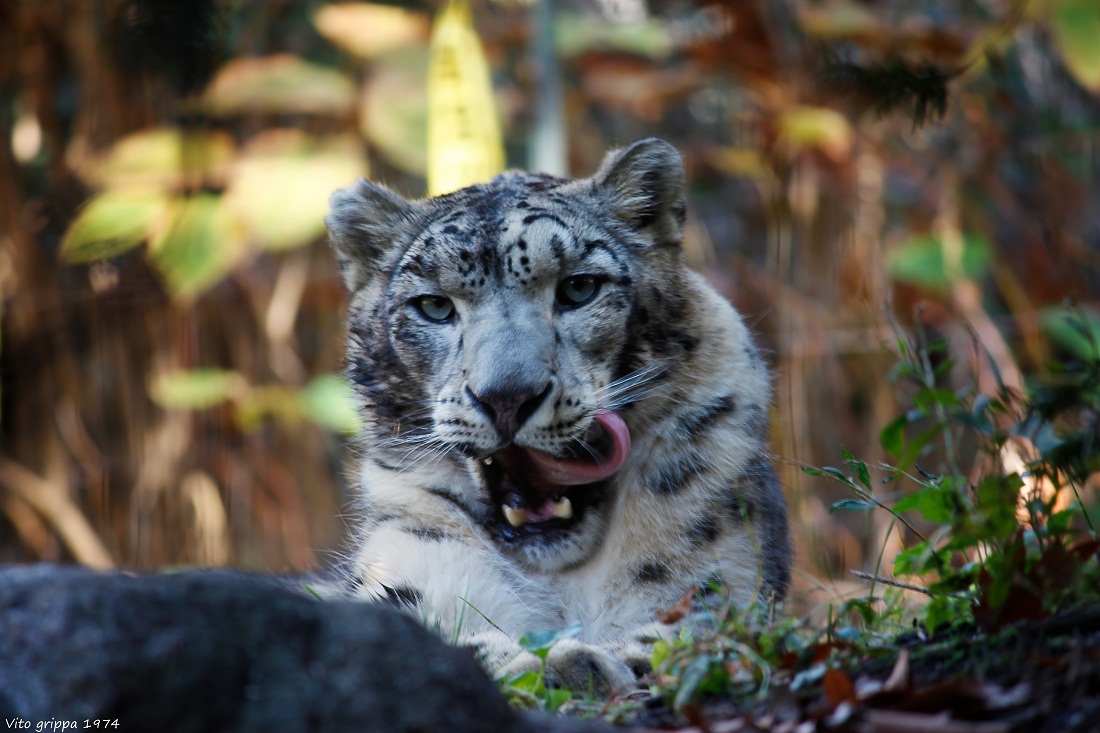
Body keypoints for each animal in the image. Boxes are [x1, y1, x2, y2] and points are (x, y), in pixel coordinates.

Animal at [322, 138, 791, 692]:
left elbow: (695, 633)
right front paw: (540, 664)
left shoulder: (726, 575)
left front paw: (585, 662)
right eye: (434, 306)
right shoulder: (408, 563)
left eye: (579, 288)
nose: (507, 395)